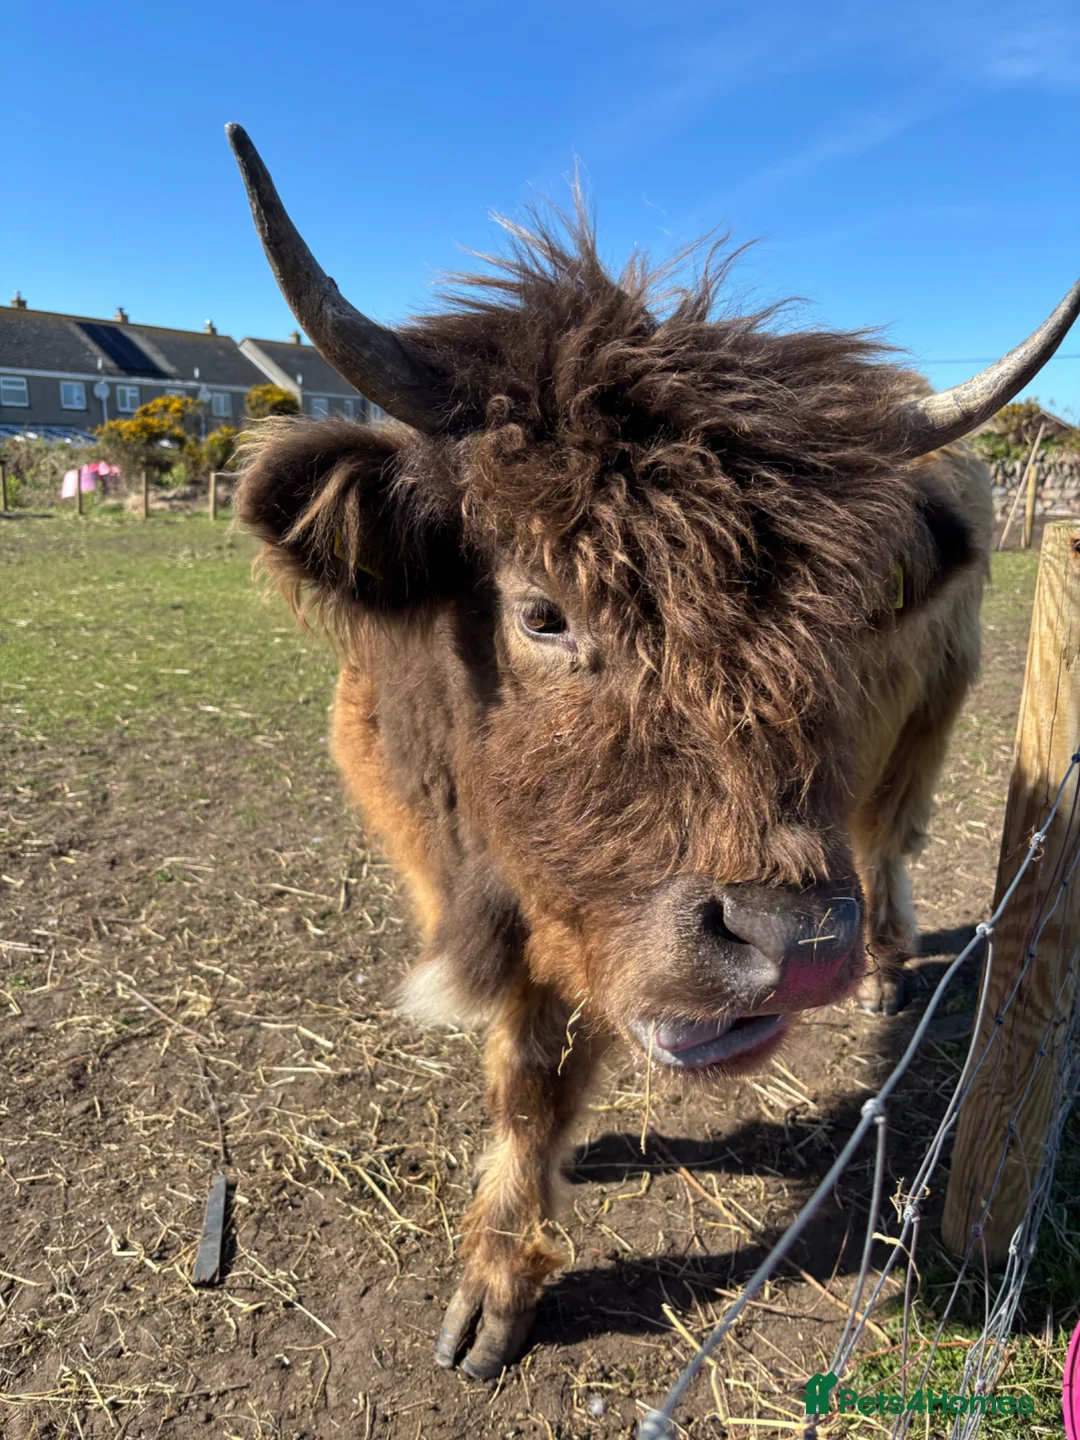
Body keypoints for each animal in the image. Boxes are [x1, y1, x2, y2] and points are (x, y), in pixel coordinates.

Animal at [225, 123, 1080, 1380]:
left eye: (838, 619)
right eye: (542, 610)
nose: (789, 946)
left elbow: (535, 1079)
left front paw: (497, 1290)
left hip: (931, 723)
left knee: (889, 835)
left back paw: (885, 964)